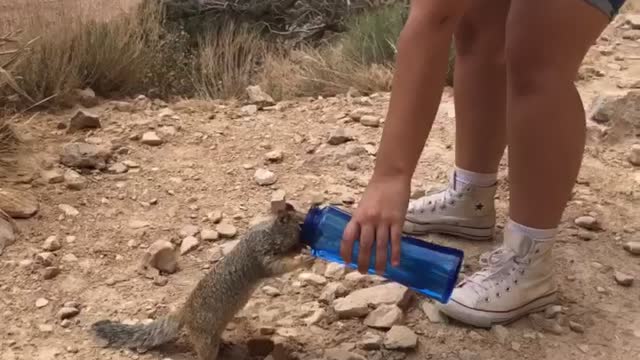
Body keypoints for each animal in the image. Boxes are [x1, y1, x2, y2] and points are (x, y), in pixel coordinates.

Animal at [90, 202, 312, 360]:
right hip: (205, 339)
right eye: (301, 224)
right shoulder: (262, 256)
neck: (270, 232)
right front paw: (304, 258)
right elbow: (277, 267)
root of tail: (185, 313)